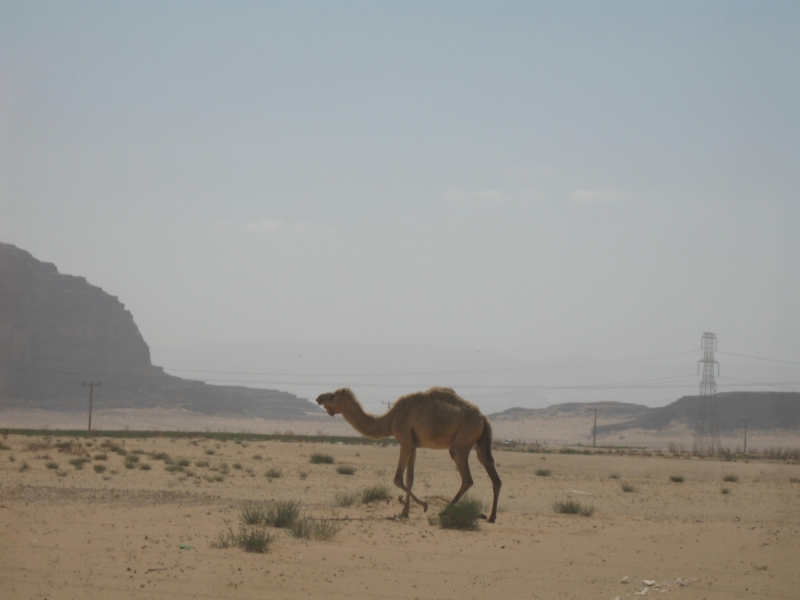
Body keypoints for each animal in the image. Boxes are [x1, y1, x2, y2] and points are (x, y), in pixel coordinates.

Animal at [314, 386, 496, 524]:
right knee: (493, 474)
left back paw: (444, 512)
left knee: (467, 478)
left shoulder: (405, 441)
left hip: (460, 444)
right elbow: (410, 478)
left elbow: (398, 478)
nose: (318, 398)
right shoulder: (413, 445)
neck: (390, 419)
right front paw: (405, 511)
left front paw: (424, 505)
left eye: (332, 395)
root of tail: (483, 418)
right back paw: (491, 517)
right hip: (480, 443)